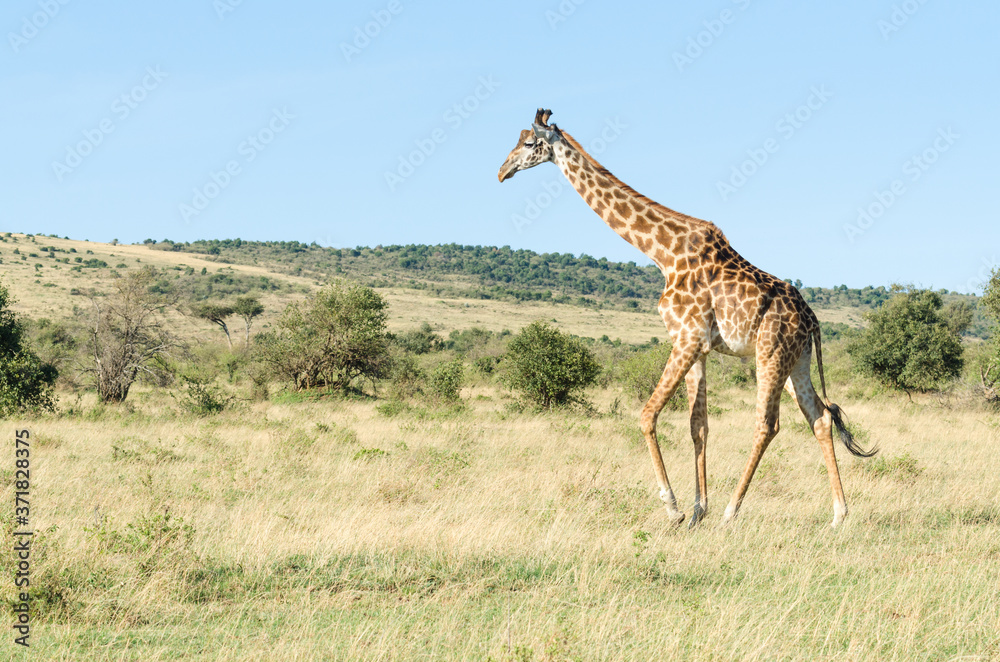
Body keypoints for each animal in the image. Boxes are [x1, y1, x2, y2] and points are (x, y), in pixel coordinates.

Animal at [498, 109, 876, 528]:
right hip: (797, 361)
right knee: (820, 418)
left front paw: (674, 507)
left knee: (768, 424)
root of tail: (813, 321)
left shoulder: (687, 337)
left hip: (770, 353)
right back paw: (839, 515)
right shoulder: (699, 346)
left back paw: (732, 510)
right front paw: (697, 510)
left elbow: (647, 415)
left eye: (528, 143)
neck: (662, 253)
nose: (502, 171)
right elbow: (699, 426)